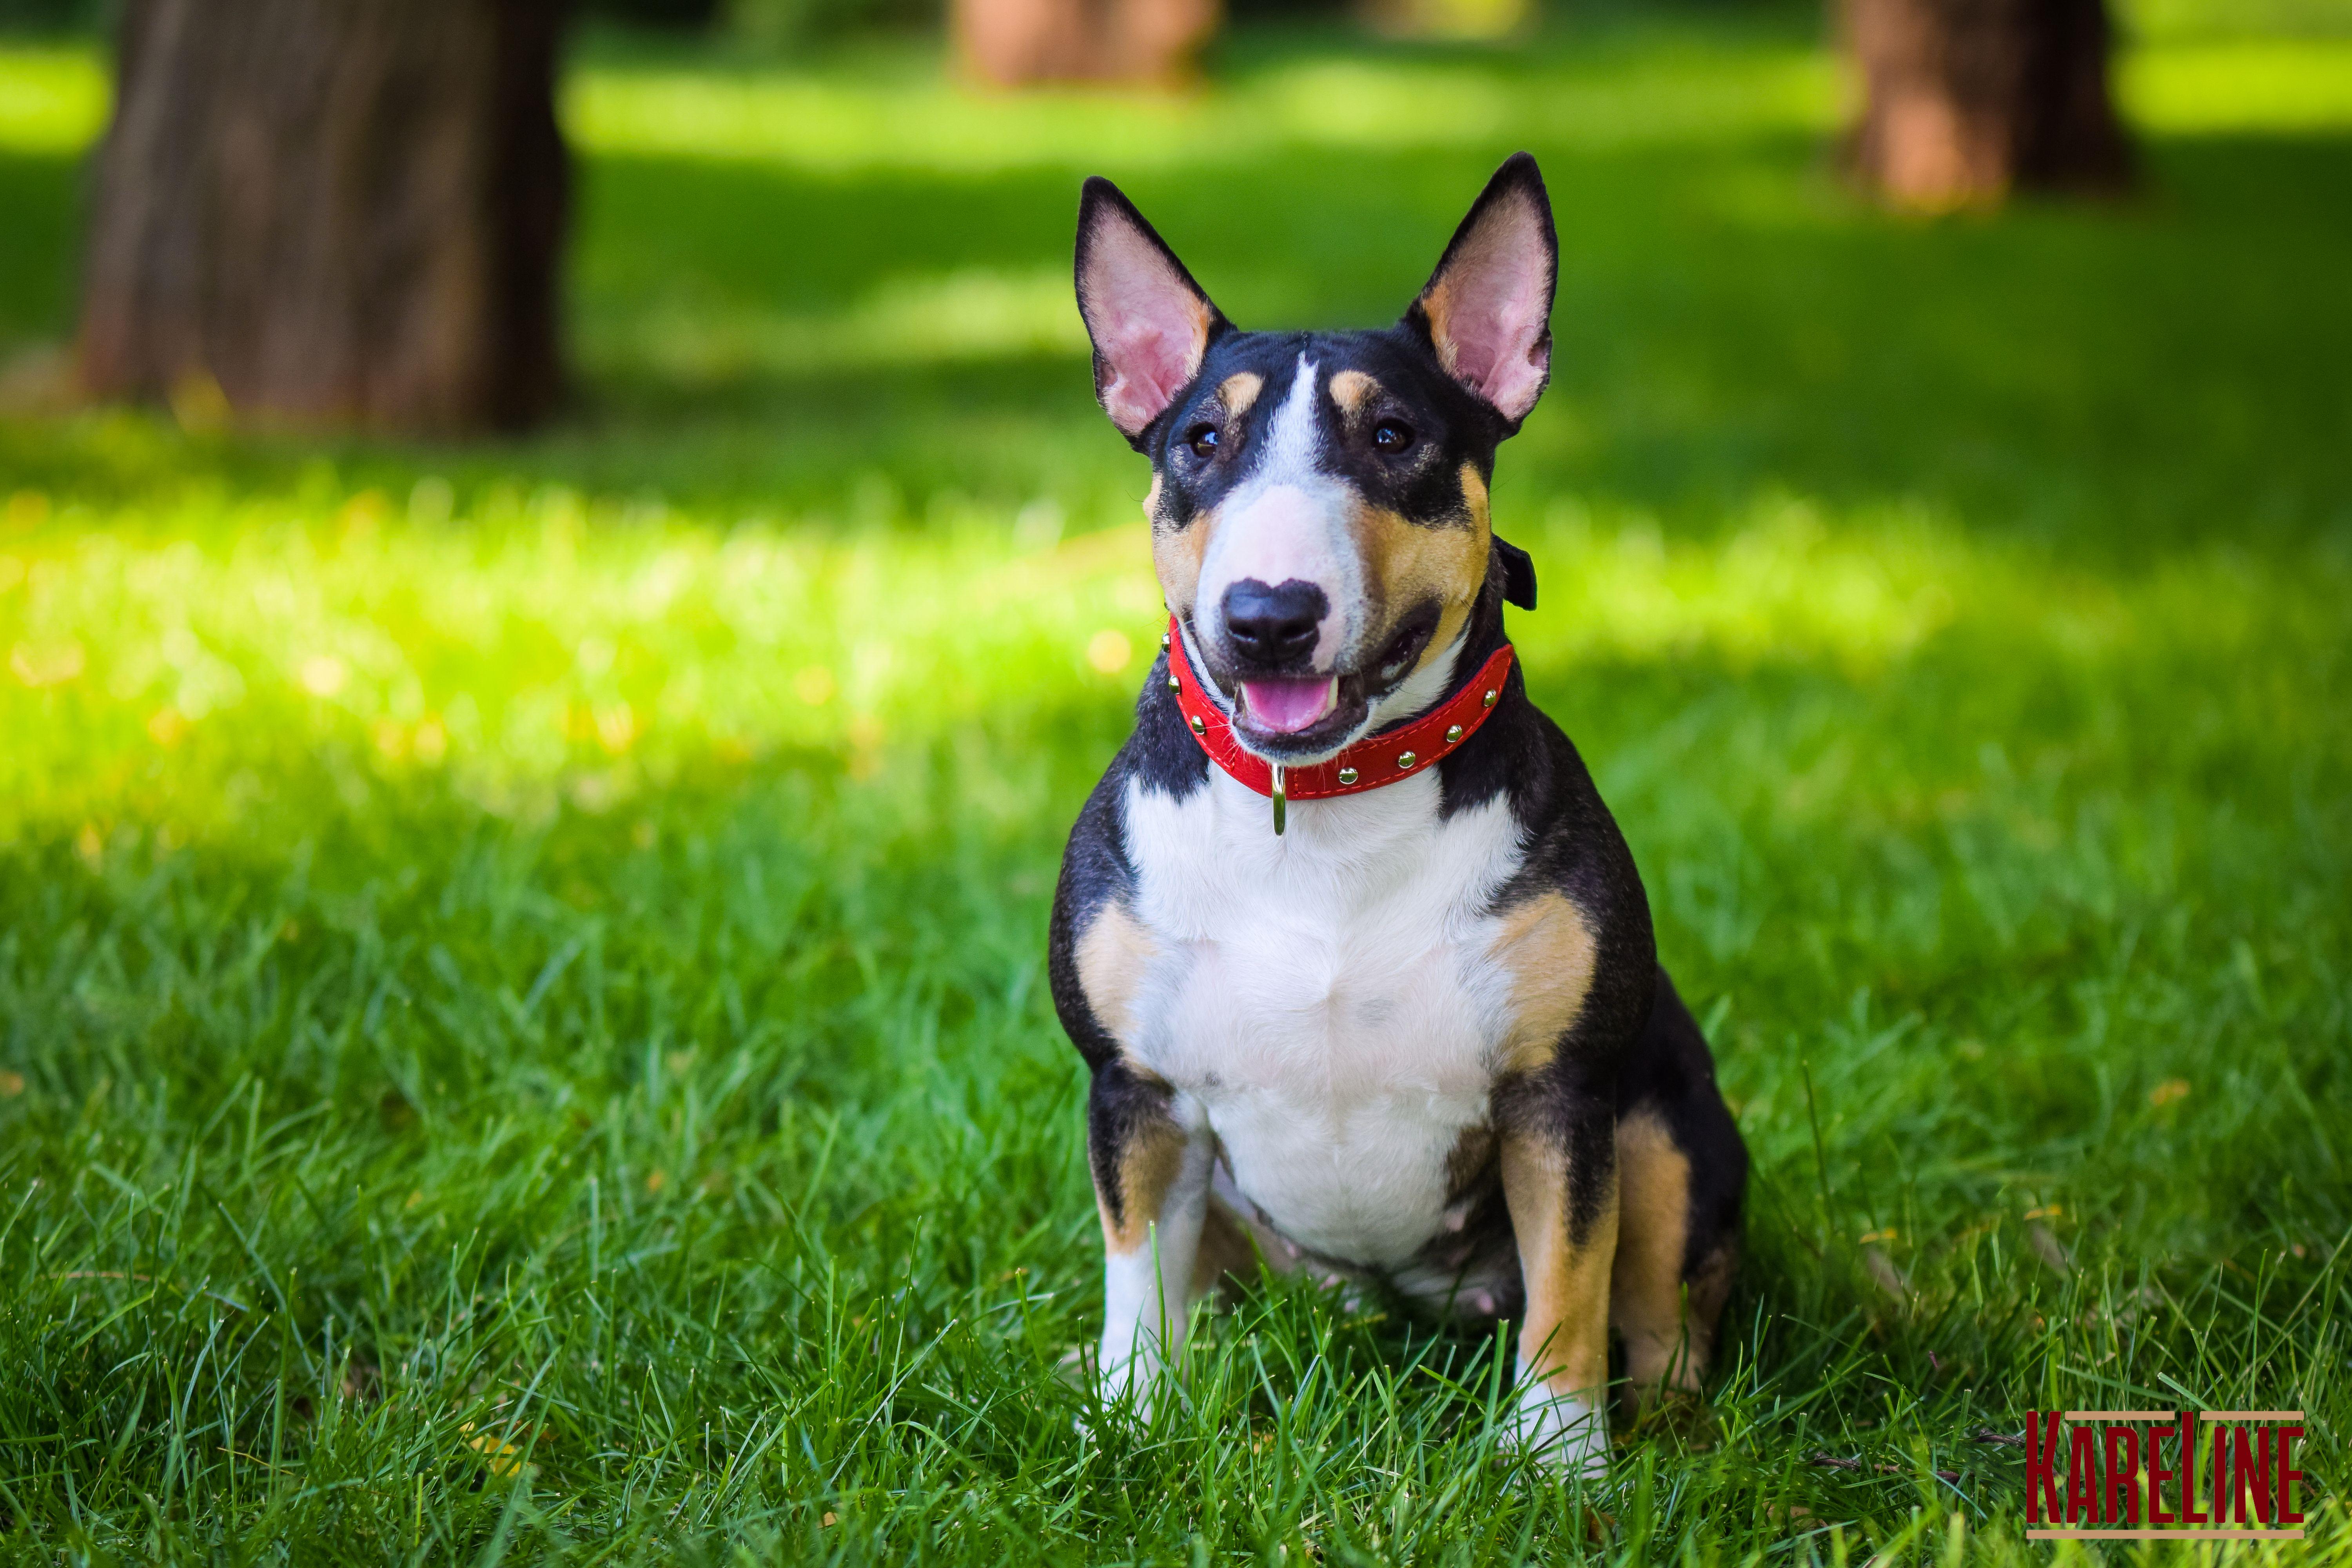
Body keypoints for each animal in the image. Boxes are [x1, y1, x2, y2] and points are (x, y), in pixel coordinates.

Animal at [1054, 150, 1750, 1476]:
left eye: (1393, 436)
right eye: (1201, 442)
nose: (1268, 616)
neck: (1325, 803)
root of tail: (1389, 1304)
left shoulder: (1558, 1095)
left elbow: (1569, 1280)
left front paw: (1556, 1457)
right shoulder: (1136, 1090)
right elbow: (1138, 1269)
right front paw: (1133, 1413)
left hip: (1663, 1119)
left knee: (1662, 1309)